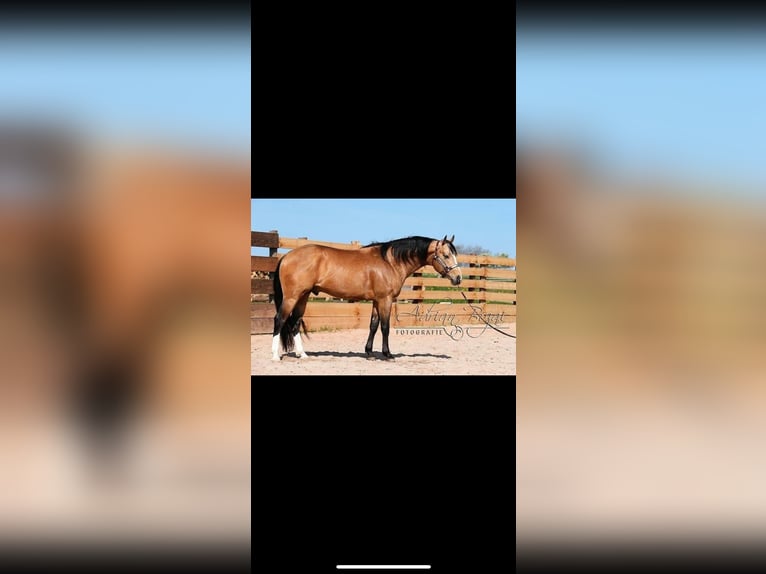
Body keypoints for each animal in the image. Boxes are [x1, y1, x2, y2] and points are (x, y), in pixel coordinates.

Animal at [271, 235, 462, 361]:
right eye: (446, 255)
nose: (458, 278)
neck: (390, 262)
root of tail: (287, 256)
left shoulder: (377, 301)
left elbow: (373, 326)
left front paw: (369, 352)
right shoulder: (385, 300)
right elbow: (385, 327)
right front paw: (387, 354)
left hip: (303, 297)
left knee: (295, 322)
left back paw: (302, 354)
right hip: (291, 297)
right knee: (279, 320)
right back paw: (275, 356)